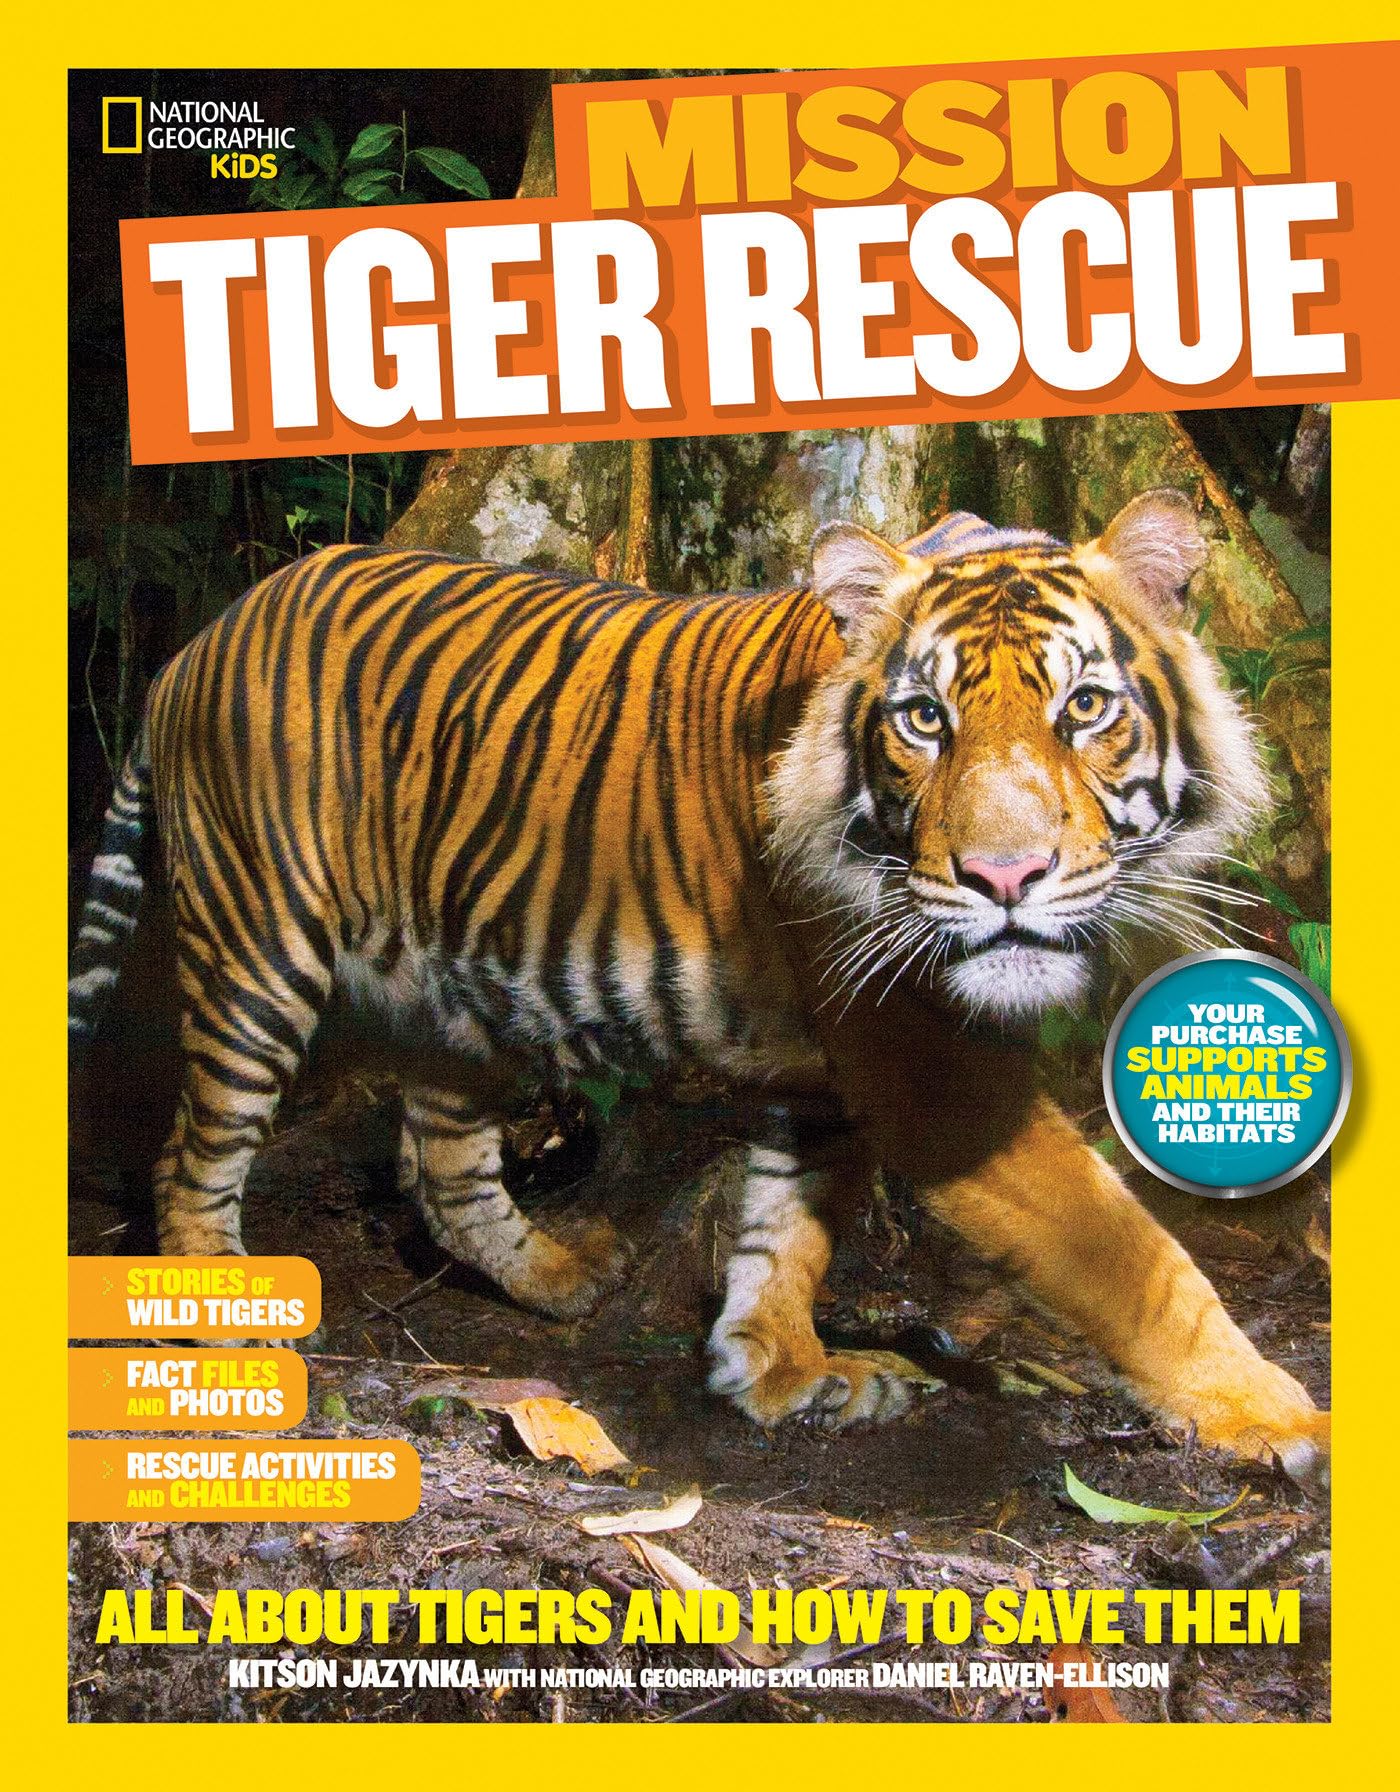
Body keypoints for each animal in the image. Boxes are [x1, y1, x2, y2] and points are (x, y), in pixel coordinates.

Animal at [69, 487, 1329, 1486]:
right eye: (923, 718)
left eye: (1085, 707)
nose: (1002, 876)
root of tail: (196, 642)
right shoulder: (927, 1067)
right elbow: (1134, 1259)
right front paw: (1276, 1414)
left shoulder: (831, 1065)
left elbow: (788, 1227)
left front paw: (778, 1368)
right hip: (258, 949)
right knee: (193, 1156)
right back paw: (228, 1326)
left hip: (456, 992)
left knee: (445, 1167)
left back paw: (563, 1275)